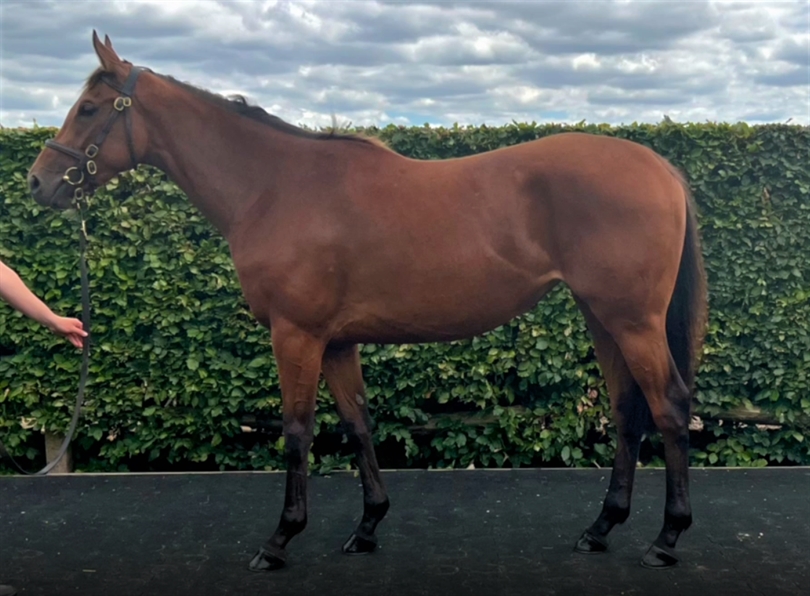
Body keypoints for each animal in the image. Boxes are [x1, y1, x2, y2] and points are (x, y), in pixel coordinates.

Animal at [27, 31, 708, 571]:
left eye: (89, 108)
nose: (38, 183)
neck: (274, 187)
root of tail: (660, 168)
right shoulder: (336, 341)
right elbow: (358, 425)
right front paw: (368, 526)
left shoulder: (295, 334)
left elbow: (297, 431)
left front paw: (280, 539)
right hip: (602, 318)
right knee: (628, 411)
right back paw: (601, 529)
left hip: (631, 319)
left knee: (669, 407)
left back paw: (668, 538)